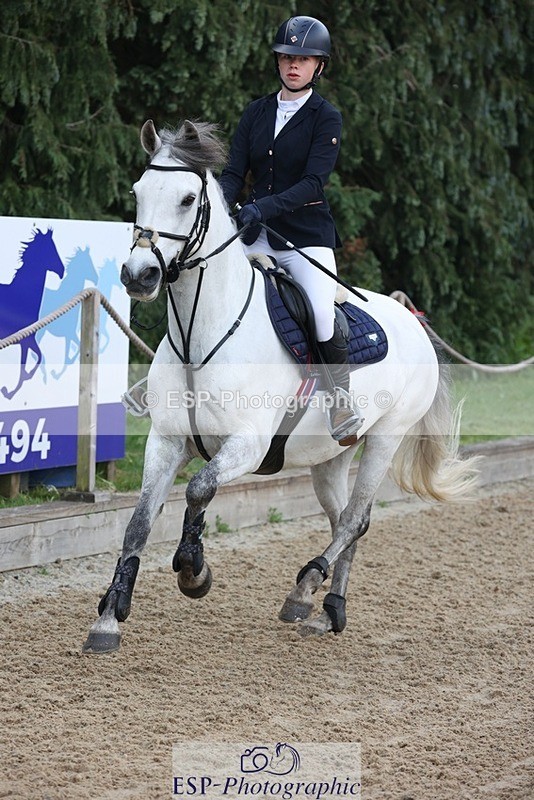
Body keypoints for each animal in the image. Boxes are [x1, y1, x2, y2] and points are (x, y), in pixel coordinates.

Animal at [0, 228, 64, 399]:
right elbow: (28, 366)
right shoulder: (26, 340)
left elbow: (38, 358)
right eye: (51, 249)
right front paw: (8, 392)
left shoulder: (28, 340)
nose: (62, 270)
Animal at [36, 245, 98, 380]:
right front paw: (55, 373)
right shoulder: (69, 334)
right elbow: (70, 355)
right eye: (88, 262)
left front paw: (56, 373)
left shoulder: (69, 335)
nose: (96, 278)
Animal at [83, 120, 478, 654]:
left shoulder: (247, 445)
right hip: (331, 456)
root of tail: (413, 321)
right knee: (345, 518)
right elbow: (139, 523)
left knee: (354, 519)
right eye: (137, 192)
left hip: (386, 437)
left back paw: (309, 584)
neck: (201, 335)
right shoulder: (166, 441)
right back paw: (323, 609)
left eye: (188, 199)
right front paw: (109, 617)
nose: (139, 275)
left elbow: (199, 490)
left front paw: (193, 571)